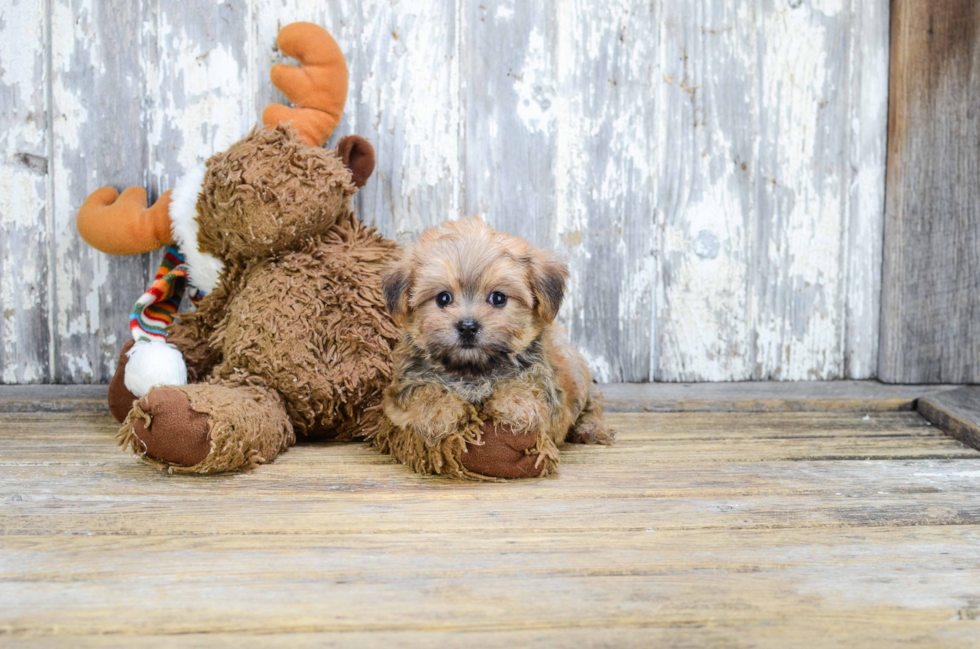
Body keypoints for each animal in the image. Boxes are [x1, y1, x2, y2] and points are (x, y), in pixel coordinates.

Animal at [376, 220, 612, 478]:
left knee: (592, 402)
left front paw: (516, 405)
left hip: (577, 370)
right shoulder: (401, 391)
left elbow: (528, 384)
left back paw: (591, 428)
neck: (473, 370)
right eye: (443, 298)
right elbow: (424, 390)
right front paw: (440, 411)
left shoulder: (546, 382)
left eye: (498, 298)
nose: (468, 327)